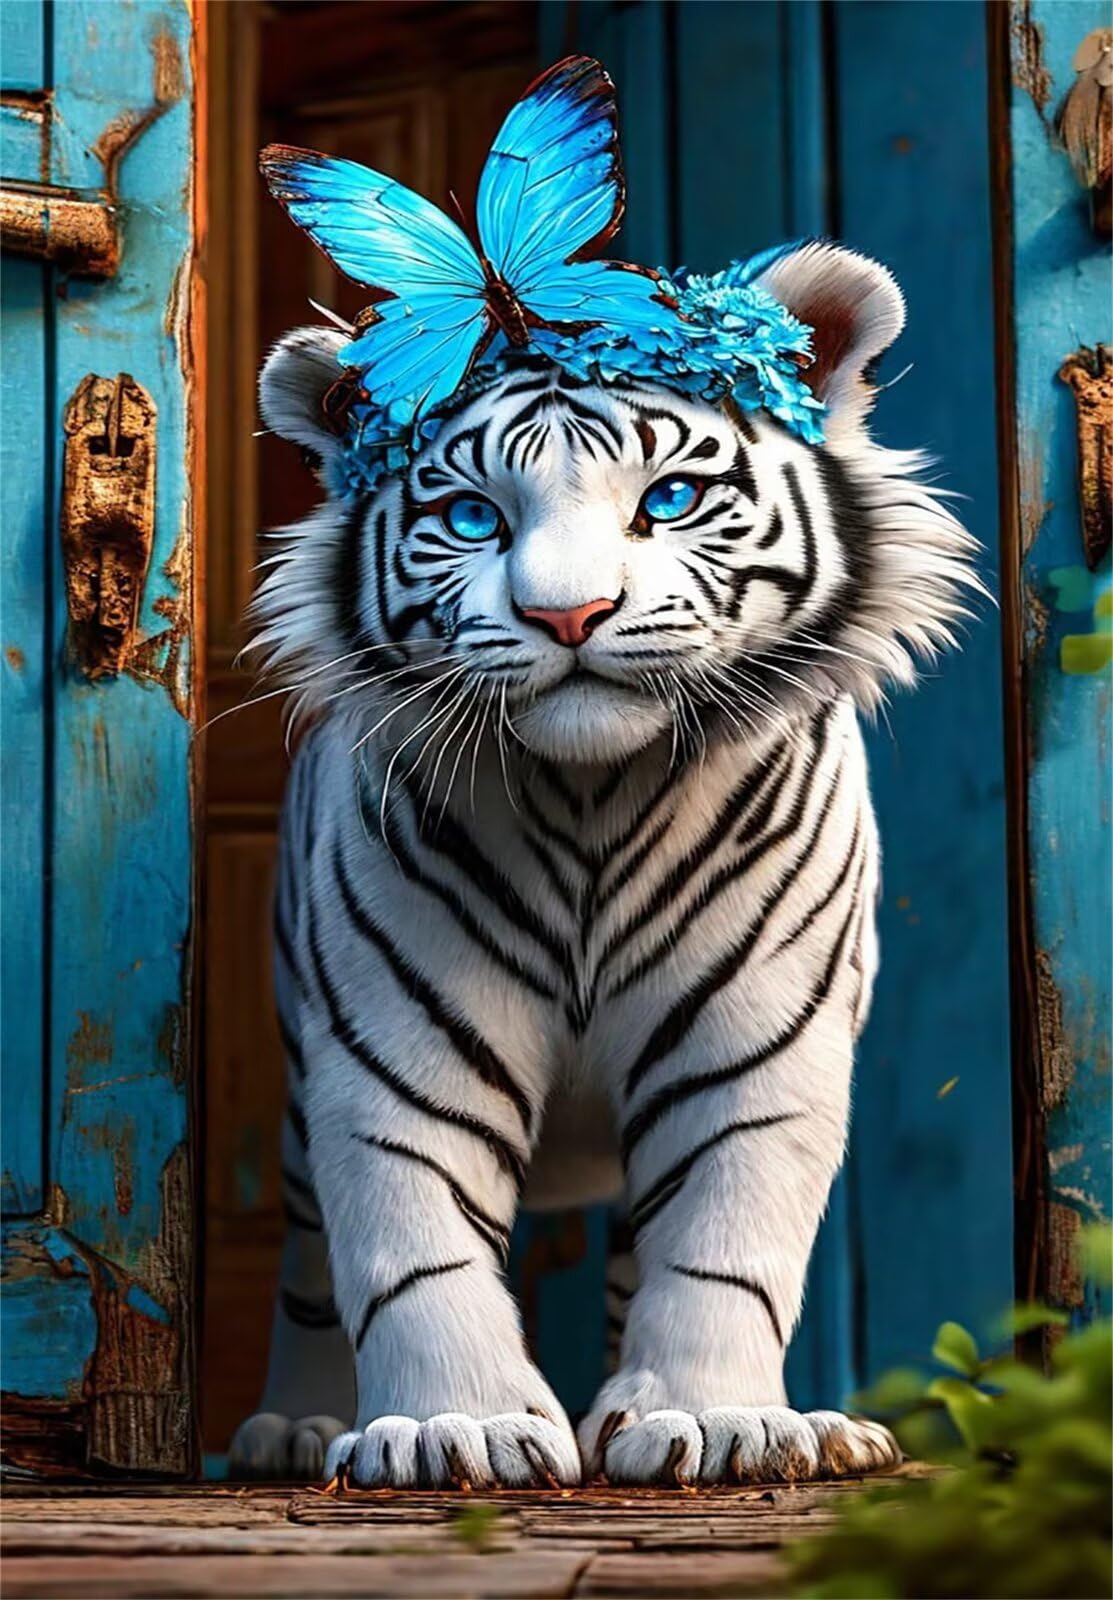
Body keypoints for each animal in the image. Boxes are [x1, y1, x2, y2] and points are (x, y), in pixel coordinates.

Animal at [227, 242, 981, 1488]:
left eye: (666, 498)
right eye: (473, 516)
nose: (568, 614)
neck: (593, 797)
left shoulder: (756, 1037)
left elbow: (724, 1246)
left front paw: (716, 1419)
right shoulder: (394, 1042)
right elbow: (413, 1249)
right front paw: (458, 1428)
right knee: (304, 1264)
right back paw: (294, 1425)